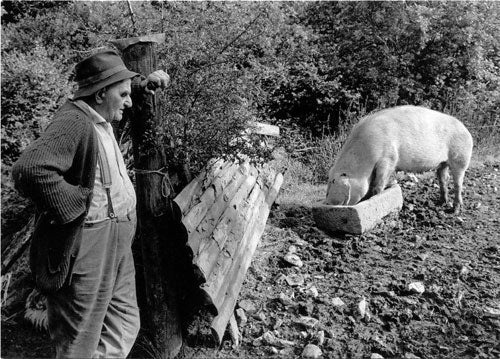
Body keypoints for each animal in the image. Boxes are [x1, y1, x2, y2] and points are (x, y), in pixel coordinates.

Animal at [326, 106, 474, 214]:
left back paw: (455, 210)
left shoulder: (388, 159)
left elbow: (378, 184)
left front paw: (375, 197)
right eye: (329, 180)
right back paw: (441, 202)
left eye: (333, 181)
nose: (328, 203)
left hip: (461, 158)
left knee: (458, 183)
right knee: (443, 179)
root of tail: (466, 130)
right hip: (442, 163)